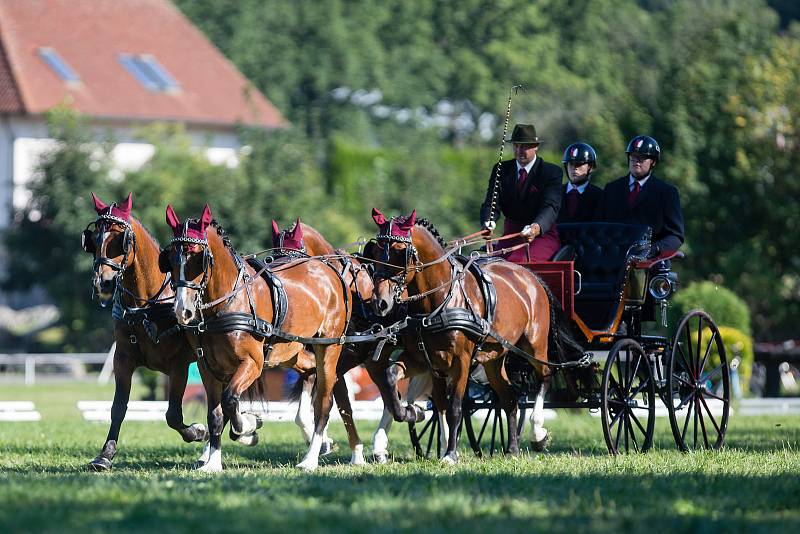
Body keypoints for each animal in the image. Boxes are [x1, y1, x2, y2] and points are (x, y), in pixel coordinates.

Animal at [81, 195, 212, 472]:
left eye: (120, 239)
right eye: (93, 240)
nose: (103, 284)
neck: (146, 306)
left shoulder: (179, 365)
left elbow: (173, 414)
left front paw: (198, 431)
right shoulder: (122, 360)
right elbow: (118, 407)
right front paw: (105, 454)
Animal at [161, 205, 352, 474]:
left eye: (199, 259)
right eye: (170, 259)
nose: (182, 311)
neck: (226, 303)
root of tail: (330, 271)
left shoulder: (253, 362)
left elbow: (230, 400)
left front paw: (248, 428)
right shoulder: (207, 368)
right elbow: (215, 416)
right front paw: (213, 463)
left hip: (328, 348)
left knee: (324, 401)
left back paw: (310, 458)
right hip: (290, 352)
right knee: (310, 372)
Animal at [272, 220, 440, 462]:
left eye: (293, 261)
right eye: (274, 256)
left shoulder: (341, 360)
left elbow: (338, 404)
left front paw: (348, 451)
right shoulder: (326, 359)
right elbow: (329, 407)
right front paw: (331, 445)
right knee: (391, 394)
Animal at [362, 209, 580, 464]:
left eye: (399, 251)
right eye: (375, 252)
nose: (380, 302)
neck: (440, 299)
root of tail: (530, 275)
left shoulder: (461, 362)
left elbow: (455, 407)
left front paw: (450, 454)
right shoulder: (423, 360)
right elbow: (402, 384)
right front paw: (411, 413)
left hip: (534, 345)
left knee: (545, 375)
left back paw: (538, 433)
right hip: (495, 359)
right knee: (509, 398)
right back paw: (512, 449)